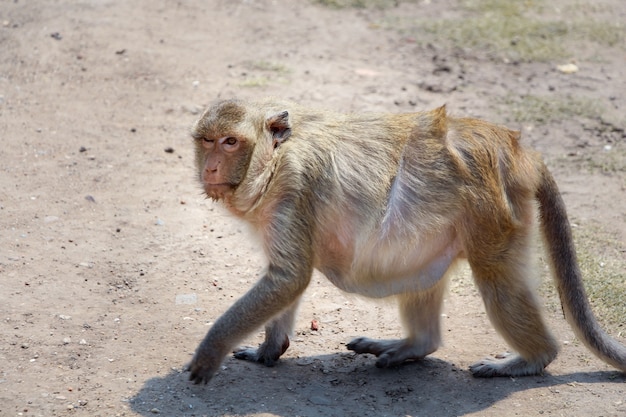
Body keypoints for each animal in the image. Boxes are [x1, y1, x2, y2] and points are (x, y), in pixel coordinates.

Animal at [185, 97, 624, 384]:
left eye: (230, 142)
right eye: (207, 140)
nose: (211, 168)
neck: (274, 161)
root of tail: (518, 151)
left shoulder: (295, 187)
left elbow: (289, 278)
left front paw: (210, 351)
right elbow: (285, 279)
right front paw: (267, 351)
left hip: (494, 214)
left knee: (498, 281)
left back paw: (530, 359)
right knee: (421, 274)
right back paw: (414, 345)